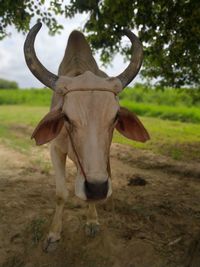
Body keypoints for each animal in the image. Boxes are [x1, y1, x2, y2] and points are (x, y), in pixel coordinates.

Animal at [23, 22, 150, 251]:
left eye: (115, 117)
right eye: (66, 117)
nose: (97, 188)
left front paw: (91, 221)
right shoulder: (55, 149)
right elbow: (61, 194)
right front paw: (53, 234)